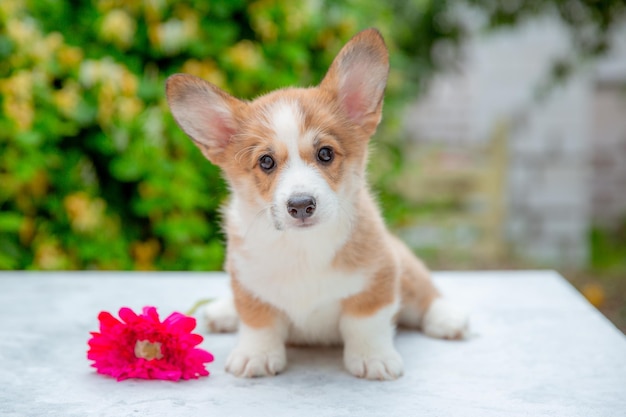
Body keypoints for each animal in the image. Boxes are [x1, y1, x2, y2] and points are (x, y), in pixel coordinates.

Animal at [163, 28, 466, 380]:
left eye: (325, 154)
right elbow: (257, 320)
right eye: (266, 162)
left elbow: (366, 322)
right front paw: (256, 354)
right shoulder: (247, 284)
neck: (302, 247)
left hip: (407, 268)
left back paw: (448, 318)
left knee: (426, 294)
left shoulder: (380, 276)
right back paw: (222, 311)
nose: (301, 205)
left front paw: (373, 357)